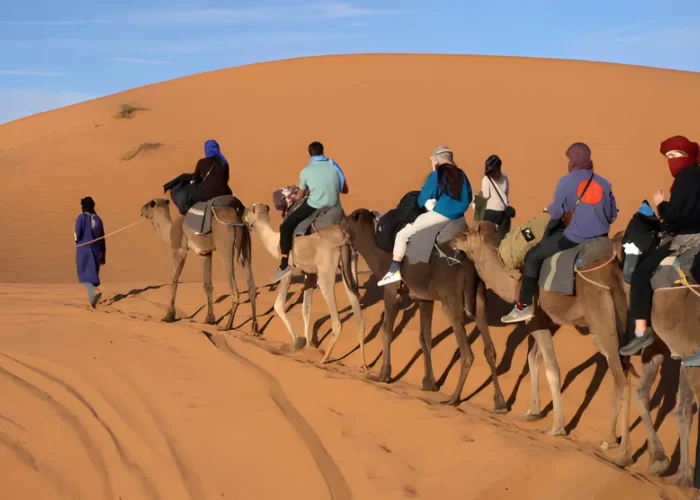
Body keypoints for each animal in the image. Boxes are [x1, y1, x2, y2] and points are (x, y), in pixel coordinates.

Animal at [140, 198, 258, 333]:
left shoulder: (179, 250)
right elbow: (207, 285)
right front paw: (209, 319)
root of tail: (237, 218)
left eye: (149, 204)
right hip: (246, 244)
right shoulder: (206, 253)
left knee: (234, 286)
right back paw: (254, 329)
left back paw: (227, 326)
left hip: (226, 244)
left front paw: (169, 316)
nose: (141, 210)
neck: (169, 231)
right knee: (251, 285)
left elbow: (174, 281)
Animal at [243, 203, 367, 370]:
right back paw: (363, 366)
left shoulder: (288, 270)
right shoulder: (310, 275)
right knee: (358, 315)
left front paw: (298, 341)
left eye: (250, 209)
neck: (275, 243)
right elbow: (306, 309)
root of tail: (343, 236)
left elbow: (278, 305)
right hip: (351, 264)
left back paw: (323, 360)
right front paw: (308, 345)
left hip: (326, 273)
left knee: (337, 321)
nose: (243, 216)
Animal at [342, 209, 507, 411]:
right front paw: (429, 383)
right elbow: (424, 337)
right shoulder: (424, 297)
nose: (341, 228)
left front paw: (383, 375)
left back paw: (453, 398)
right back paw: (500, 402)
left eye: (346, 222)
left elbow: (386, 330)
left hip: (451, 301)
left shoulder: (391, 290)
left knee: (467, 352)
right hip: (480, 298)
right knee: (489, 349)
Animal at [450, 221, 633, 466]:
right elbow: (534, 359)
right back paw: (613, 442)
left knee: (621, 378)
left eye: (464, 234)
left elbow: (552, 368)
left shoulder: (536, 317)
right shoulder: (549, 320)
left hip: (602, 320)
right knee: (623, 373)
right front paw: (532, 412)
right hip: (624, 323)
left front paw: (556, 427)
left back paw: (621, 451)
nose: (450, 241)